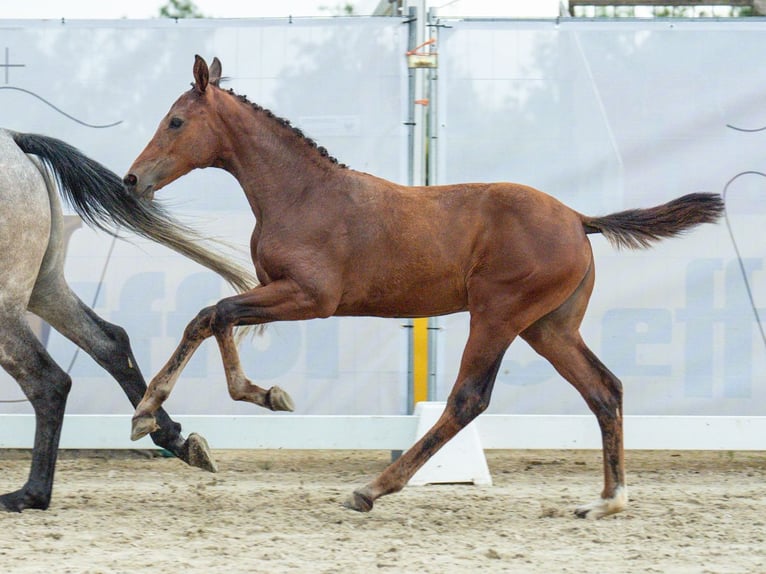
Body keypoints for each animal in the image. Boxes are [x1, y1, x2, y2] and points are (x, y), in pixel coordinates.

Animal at [0, 129, 258, 512]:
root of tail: (14, 140)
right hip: (44, 287)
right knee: (110, 343)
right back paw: (177, 440)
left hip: (10, 306)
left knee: (48, 380)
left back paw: (31, 494)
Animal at [123, 57, 728, 520]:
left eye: (176, 121)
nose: (132, 179)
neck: (301, 193)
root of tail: (580, 220)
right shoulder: (275, 288)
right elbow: (219, 317)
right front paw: (261, 396)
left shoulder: (311, 298)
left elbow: (211, 312)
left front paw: (150, 410)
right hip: (549, 327)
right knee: (604, 390)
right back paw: (607, 501)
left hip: (498, 315)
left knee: (468, 399)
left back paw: (371, 489)